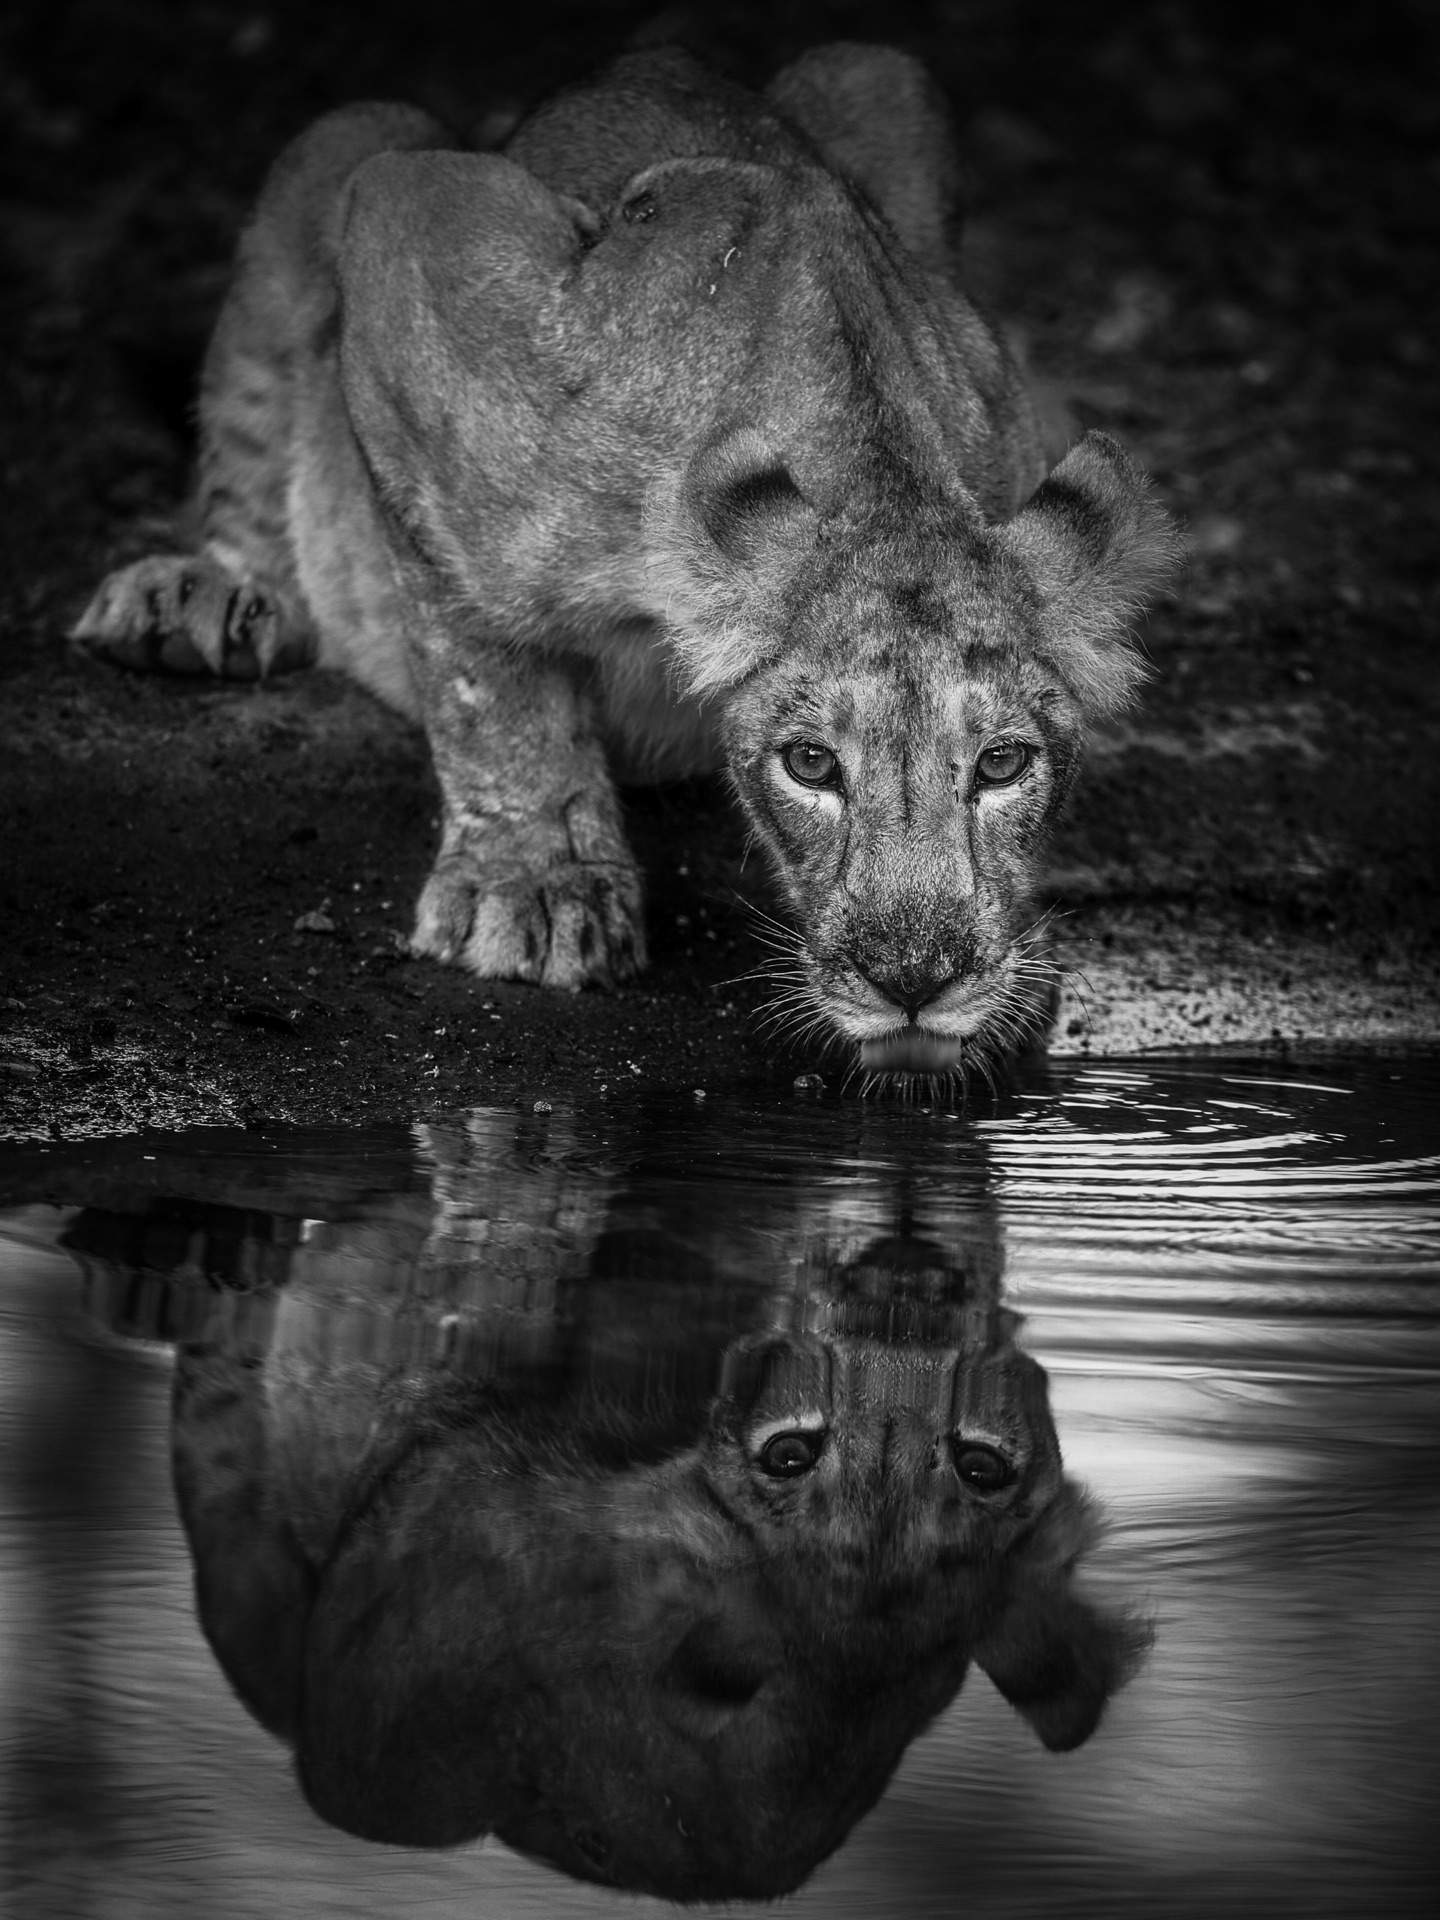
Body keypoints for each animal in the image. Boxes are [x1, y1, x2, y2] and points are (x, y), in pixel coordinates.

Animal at [72, 42, 1178, 1078]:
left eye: (1003, 764)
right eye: (810, 764)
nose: (914, 981)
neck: (876, 472)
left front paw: (1016, 982)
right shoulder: (414, 233)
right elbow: (487, 671)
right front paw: (534, 883)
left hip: (879, 78)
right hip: (343, 142)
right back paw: (204, 598)